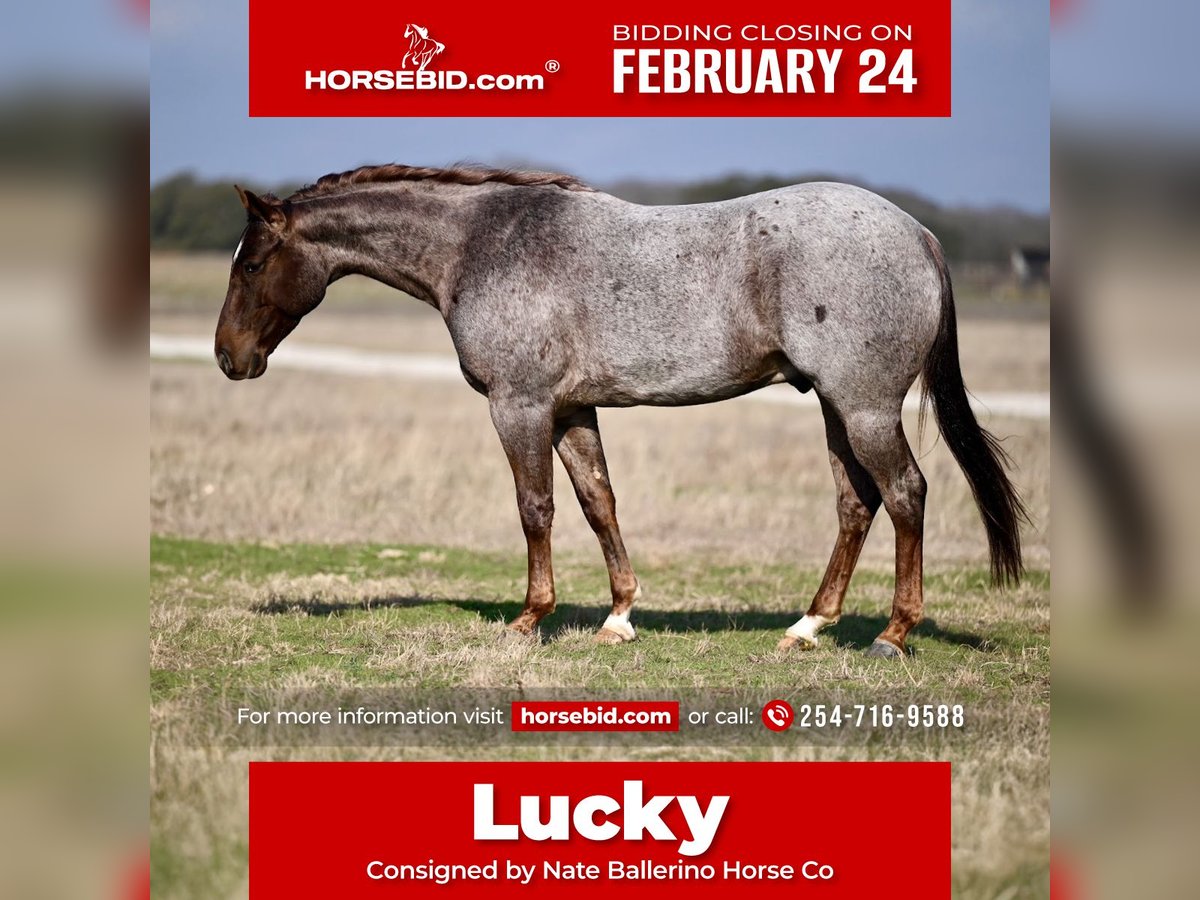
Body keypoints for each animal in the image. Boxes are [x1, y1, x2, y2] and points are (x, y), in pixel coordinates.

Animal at [213, 165, 1022, 657]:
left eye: (250, 263)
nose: (228, 357)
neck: (482, 245)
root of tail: (918, 234)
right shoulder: (573, 410)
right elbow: (598, 502)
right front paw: (619, 616)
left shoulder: (519, 406)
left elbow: (535, 508)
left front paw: (530, 619)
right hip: (835, 406)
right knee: (857, 504)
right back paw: (807, 625)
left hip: (864, 406)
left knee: (905, 493)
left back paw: (893, 632)